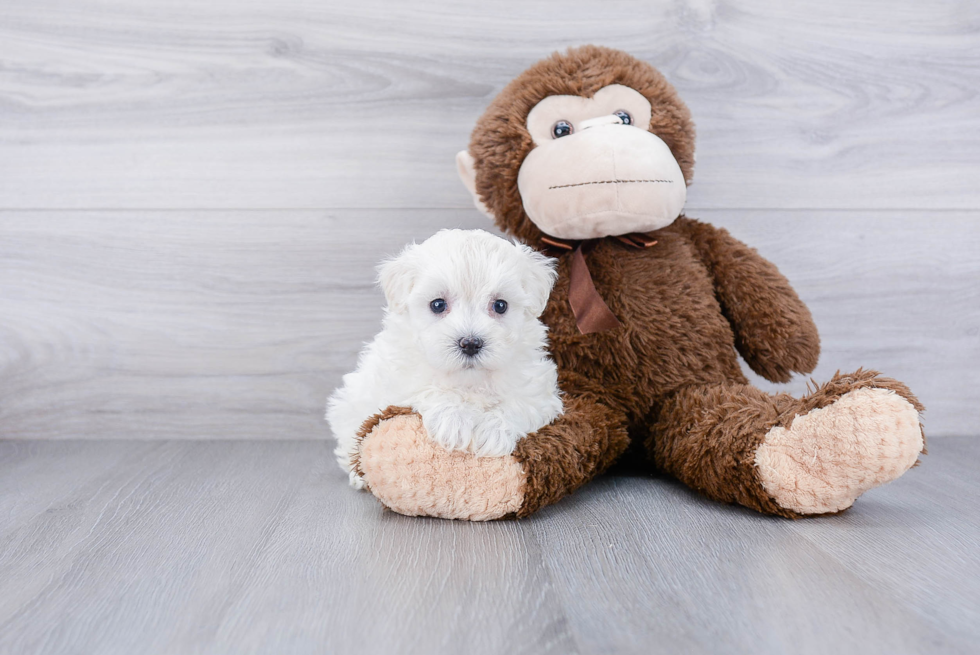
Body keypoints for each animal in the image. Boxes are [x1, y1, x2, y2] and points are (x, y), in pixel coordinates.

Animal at [328, 228, 564, 490]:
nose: (470, 343)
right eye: (438, 304)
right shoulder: (398, 379)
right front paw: (454, 420)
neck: (469, 379)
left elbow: (520, 403)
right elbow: (429, 389)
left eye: (500, 305)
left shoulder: (537, 388)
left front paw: (493, 429)